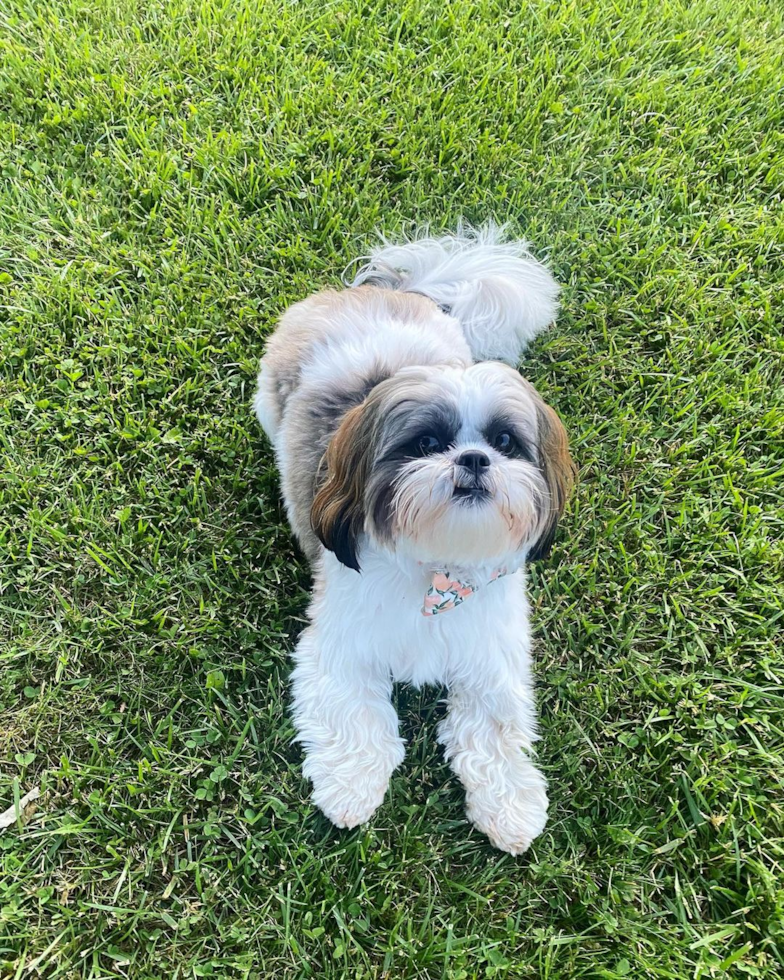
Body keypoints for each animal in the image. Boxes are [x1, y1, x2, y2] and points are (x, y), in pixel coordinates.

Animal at [254, 226, 572, 852]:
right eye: (426, 444)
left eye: (505, 441)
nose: (474, 459)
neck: (438, 566)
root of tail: (397, 291)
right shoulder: (340, 647)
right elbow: (354, 717)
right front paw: (350, 791)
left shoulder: (491, 658)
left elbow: (496, 731)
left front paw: (512, 809)